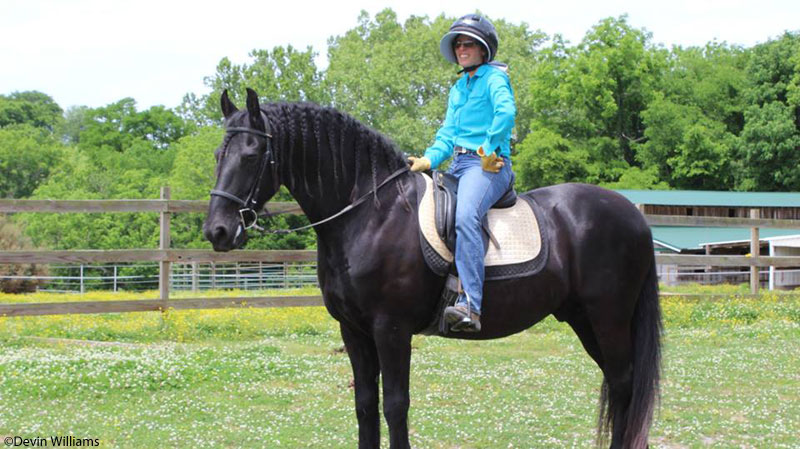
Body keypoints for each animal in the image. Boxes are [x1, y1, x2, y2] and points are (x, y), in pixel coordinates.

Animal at [203, 89, 660, 446]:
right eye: (217, 154)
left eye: (252, 154)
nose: (217, 231)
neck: (372, 213)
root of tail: (633, 215)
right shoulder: (353, 331)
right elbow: (365, 405)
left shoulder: (391, 329)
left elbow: (395, 405)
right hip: (584, 319)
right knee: (618, 383)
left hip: (608, 317)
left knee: (623, 383)